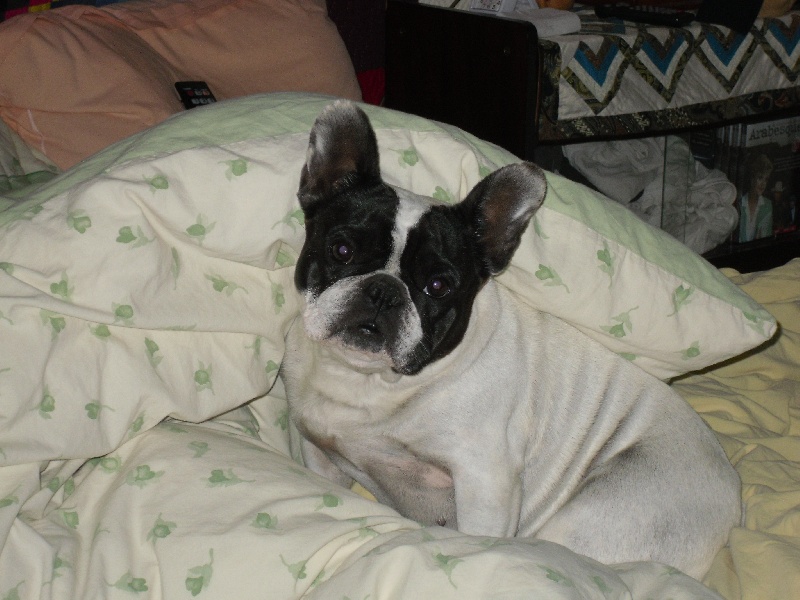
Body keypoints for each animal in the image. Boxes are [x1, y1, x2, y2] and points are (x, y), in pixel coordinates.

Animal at [280, 100, 741, 578]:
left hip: (598, 516)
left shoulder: (485, 479)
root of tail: (733, 505)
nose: (384, 291)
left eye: (439, 286)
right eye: (342, 251)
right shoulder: (320, 454)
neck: (365, 382)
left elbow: (480, 538)